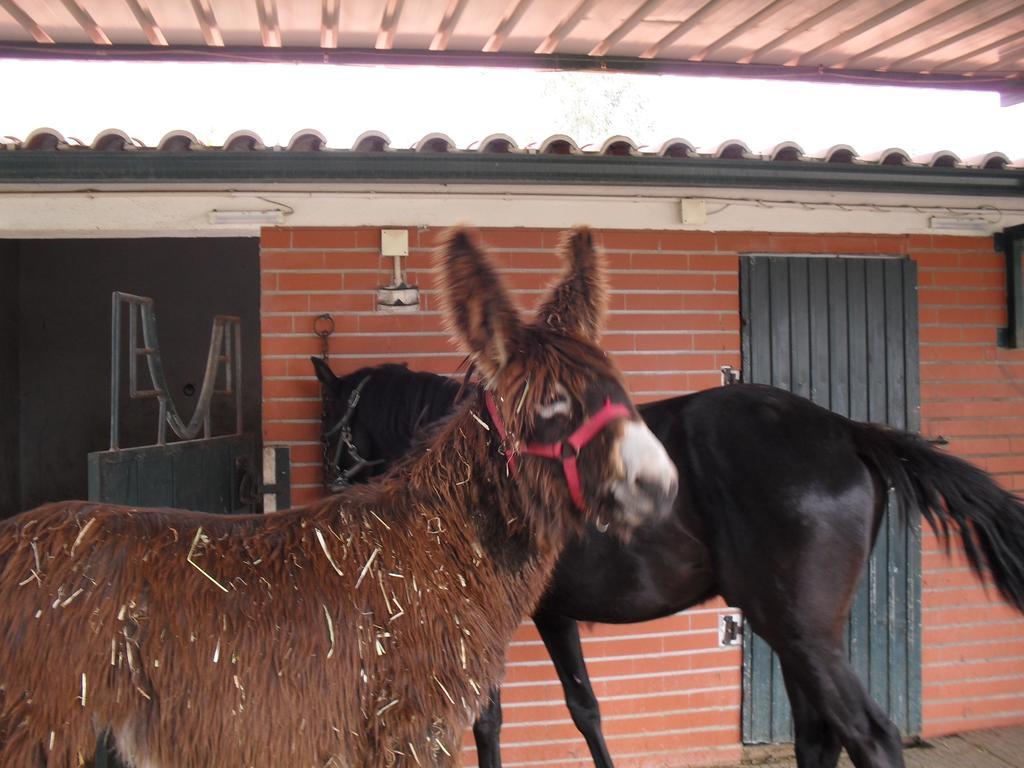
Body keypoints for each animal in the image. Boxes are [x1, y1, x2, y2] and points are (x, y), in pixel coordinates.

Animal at [311, 360, 1024, 768]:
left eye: (329, 427)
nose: (329, 497)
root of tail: (846, 430)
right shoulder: (552, 615)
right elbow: (585, 707)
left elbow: (487, 722)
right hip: (799, 632)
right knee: (817, 735)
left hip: (800, 631)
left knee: (867, 735)